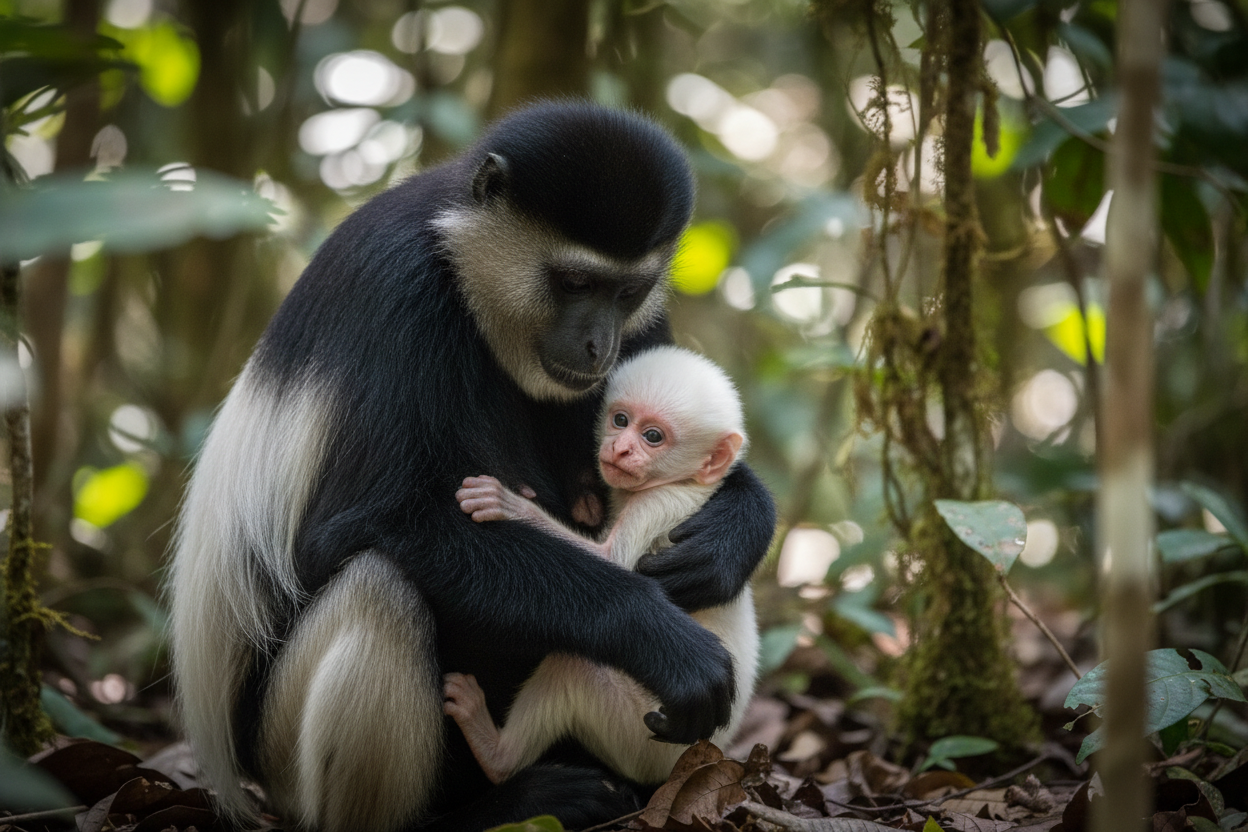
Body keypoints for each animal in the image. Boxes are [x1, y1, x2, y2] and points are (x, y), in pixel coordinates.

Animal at [445, 345, 760, 786]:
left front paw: (511, 505)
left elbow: (613, 561)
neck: (685, 481)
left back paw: (495, 753)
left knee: (574, 663)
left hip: (640, 733)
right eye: (621, 420)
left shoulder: (660, 504)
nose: (620, 448)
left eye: (652, 436)